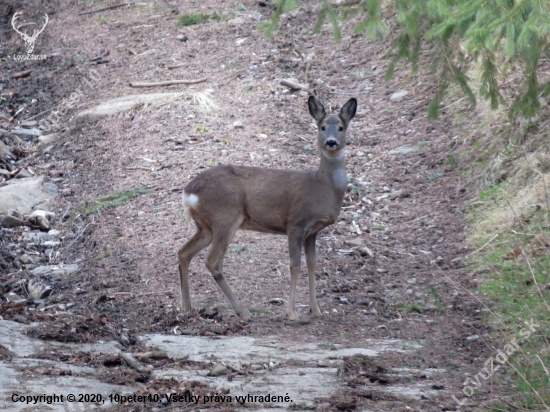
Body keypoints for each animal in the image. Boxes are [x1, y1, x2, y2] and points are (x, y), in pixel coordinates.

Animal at [180, 96, 358, 322]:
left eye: (342, 127)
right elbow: (295, 266)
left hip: (206, 226)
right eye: (322, 127)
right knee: (212, 261)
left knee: (184, 252)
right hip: (225, 216)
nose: (331, 142)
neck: (322, 187)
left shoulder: (312, 231)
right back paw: (243, 312)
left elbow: (312, 265)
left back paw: (187, 307)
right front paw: (292, 312)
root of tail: (188, 192)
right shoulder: (296, 222)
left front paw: (316, 310)